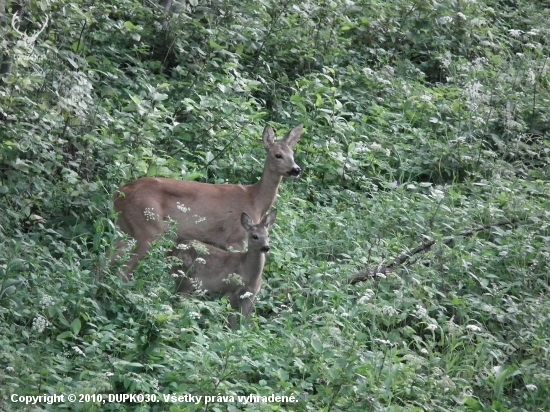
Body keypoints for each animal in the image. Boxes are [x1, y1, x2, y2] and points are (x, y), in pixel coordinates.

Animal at [111, 124, 302, 282]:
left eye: (293, 155)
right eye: (278, 155)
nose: (296, 169)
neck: (255, 200)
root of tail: (119, 194)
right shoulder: (236, 239)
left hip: (126, 228)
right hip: (148, 227)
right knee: (124, 270)